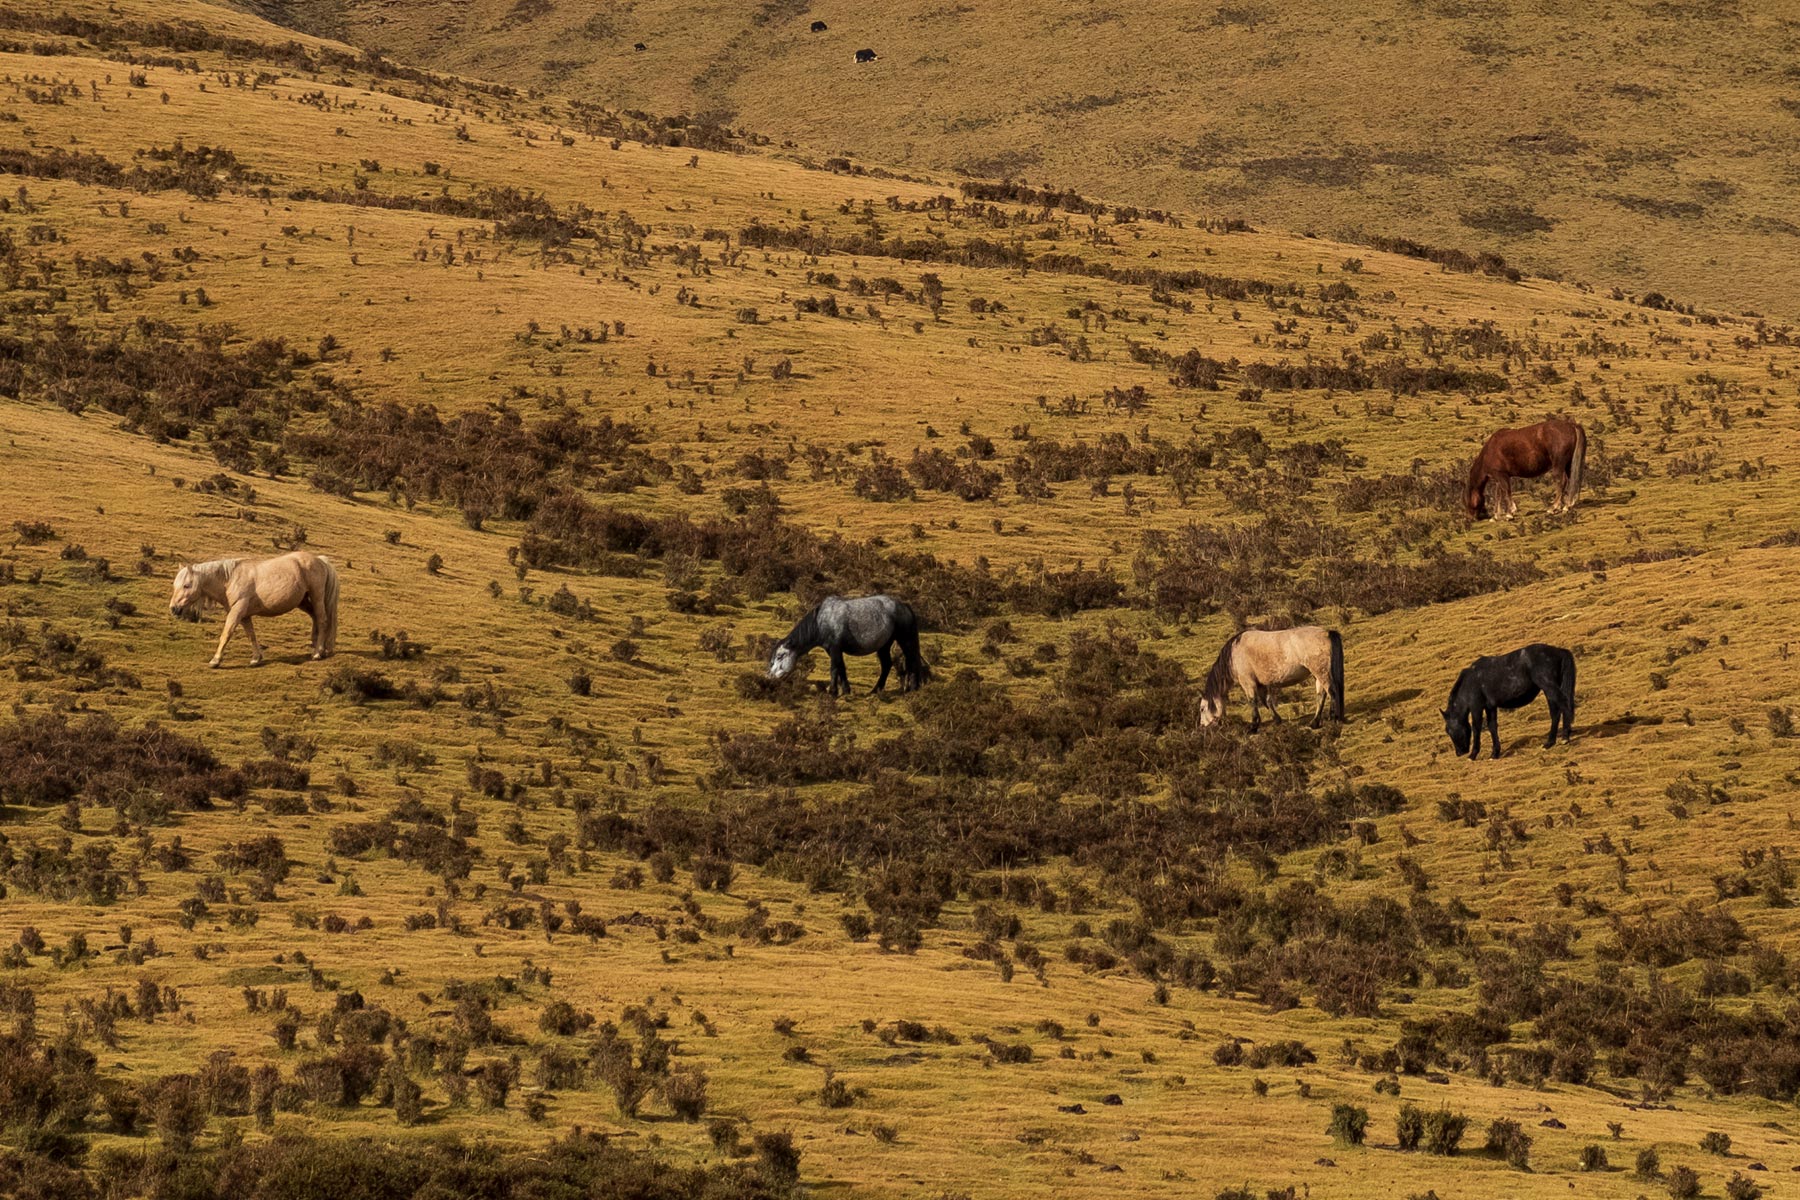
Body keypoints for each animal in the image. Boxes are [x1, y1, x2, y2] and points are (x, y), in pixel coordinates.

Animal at [170, 550, 338, 672]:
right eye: (175, 585)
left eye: (186, 585)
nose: (173, 608)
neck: (230, 579)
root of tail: (320, 560)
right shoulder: (244, 615)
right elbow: (251, 634)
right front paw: (256, 658)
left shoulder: (237, 611)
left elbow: (226, 633)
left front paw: (215, 660)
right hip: (303, 601)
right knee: (315, 618)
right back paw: (317, 647)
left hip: (316, 597)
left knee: (322, 620)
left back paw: (318, 652)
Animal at [763, 597, 928, 698]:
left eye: (780, 656)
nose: (769, 677)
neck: (821, 622)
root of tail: (905, 606)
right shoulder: (833, 650)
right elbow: (841, 668)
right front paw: (846, 691)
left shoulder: (835, 648)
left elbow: (834, 669)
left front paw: (833, 692)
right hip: (884, 645)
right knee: (887, 665)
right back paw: (876, 690)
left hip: (905, 640)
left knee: (912, 661)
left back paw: (913, 688)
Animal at [1202, 629, 1346, 734]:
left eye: (1202, 709)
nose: (1202, 727)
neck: (1233, 655)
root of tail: (1326, 633)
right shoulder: (1262, 684)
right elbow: (1268, 701)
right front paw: (1277, 720)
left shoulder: (1248, 683)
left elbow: (1253, 702)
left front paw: (1253, 726)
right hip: (1318, 676)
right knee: (1321, 696)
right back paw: (1315, 723)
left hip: (1321, 673)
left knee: (1332, 692)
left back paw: (1334, 717)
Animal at [1440, 647, 1569, 759]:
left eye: (1449, 730)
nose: (1459, 753)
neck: (1469, 682)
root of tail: (1558, 651)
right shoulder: (1490, 707)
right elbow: (1492, 727)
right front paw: (1494, 753)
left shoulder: (1476, 707)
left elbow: (1476, 728)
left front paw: (1473, 755)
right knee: (1555, 712)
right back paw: (1551, 741)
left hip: (1549, 689)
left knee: (1563, 706)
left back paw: (1564, 738)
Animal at [1461, 420, 1591, 518]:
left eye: (1467, 502)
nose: (1471, 519)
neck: (1489, 451)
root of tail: (1572, 425)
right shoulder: (1499, 477)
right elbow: (1499, 494)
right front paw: (1497, 515)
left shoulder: (1501, 475)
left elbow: (1506, 491)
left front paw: (1510, 513)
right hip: (1568, 464)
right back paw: (1568, 505)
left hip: (1558, 465)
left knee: (1561, 482)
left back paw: (1553, 508)